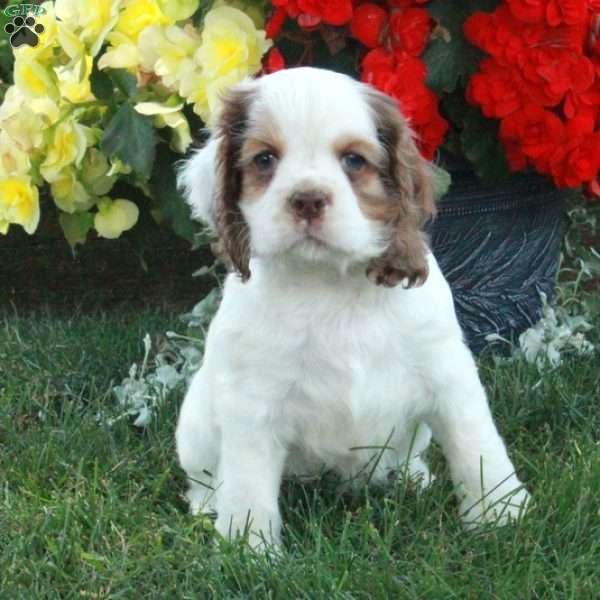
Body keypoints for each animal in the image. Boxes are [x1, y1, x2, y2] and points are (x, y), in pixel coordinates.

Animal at [175, 65, 528, 548]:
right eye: (265, 160)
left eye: (354, 161)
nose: (307, 199)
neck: (330, 282)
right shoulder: (252, 401)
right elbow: (248, 482)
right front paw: (248, 547)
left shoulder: (447, 373)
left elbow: (477, 445)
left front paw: (501, 515)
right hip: (193, 426)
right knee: (204, 476)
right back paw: (207, 504)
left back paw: (412, 478)